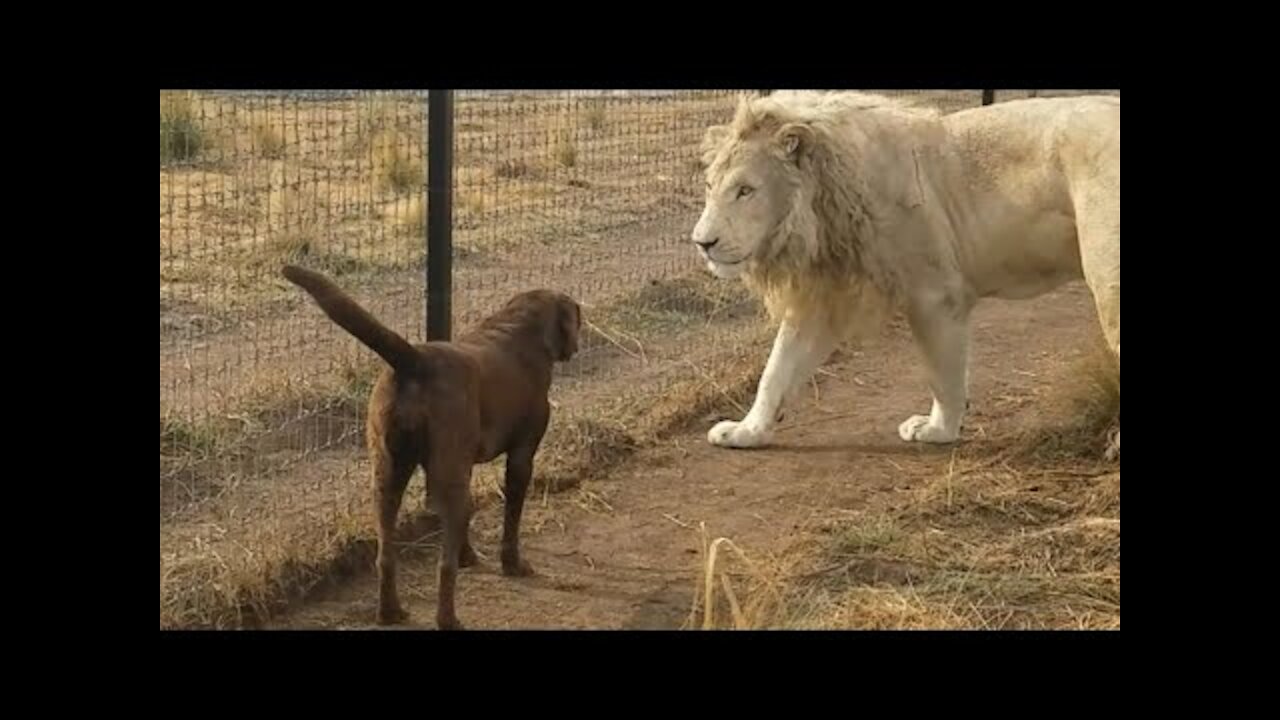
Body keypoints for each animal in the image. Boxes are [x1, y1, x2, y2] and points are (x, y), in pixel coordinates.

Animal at [282, 263, 583, 627]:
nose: (577, 345)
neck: (519, 327)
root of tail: (413, 360)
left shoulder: (461, 466)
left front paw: (469, 555)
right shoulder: (522, 456)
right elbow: (511, 518)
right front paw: (512, 564)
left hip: (388, 476)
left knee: (385, 555)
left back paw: (390, 612)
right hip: (443, 479)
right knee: (443, 566)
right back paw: (448, 620)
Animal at [691, 90, 1121, 453]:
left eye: (745, 190)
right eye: (710, 186)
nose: (702, 242)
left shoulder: (935, 295)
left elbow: (943, 375)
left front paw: (938, 430)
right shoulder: (824, 298)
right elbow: (777, 371)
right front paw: (746, 431)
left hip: (1108, 281)